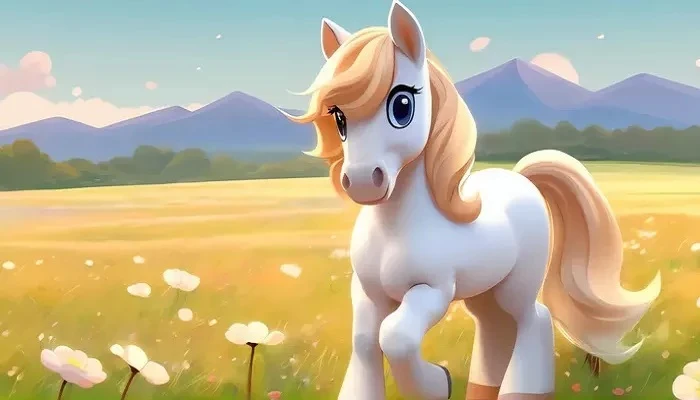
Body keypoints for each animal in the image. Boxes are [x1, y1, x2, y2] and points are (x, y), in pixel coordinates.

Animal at [284, 1, 661, 399]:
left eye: (402, 105)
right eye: (338, 117)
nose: (360, 181)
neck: (397, 230)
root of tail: (520, 177)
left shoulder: (433, 290)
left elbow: (396, 336)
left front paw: (438, 383)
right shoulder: (369, 293)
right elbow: (364, 341)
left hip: (516, 287)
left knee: (532, 318)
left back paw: (521, 391)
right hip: (485, 291)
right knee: (495, 326)